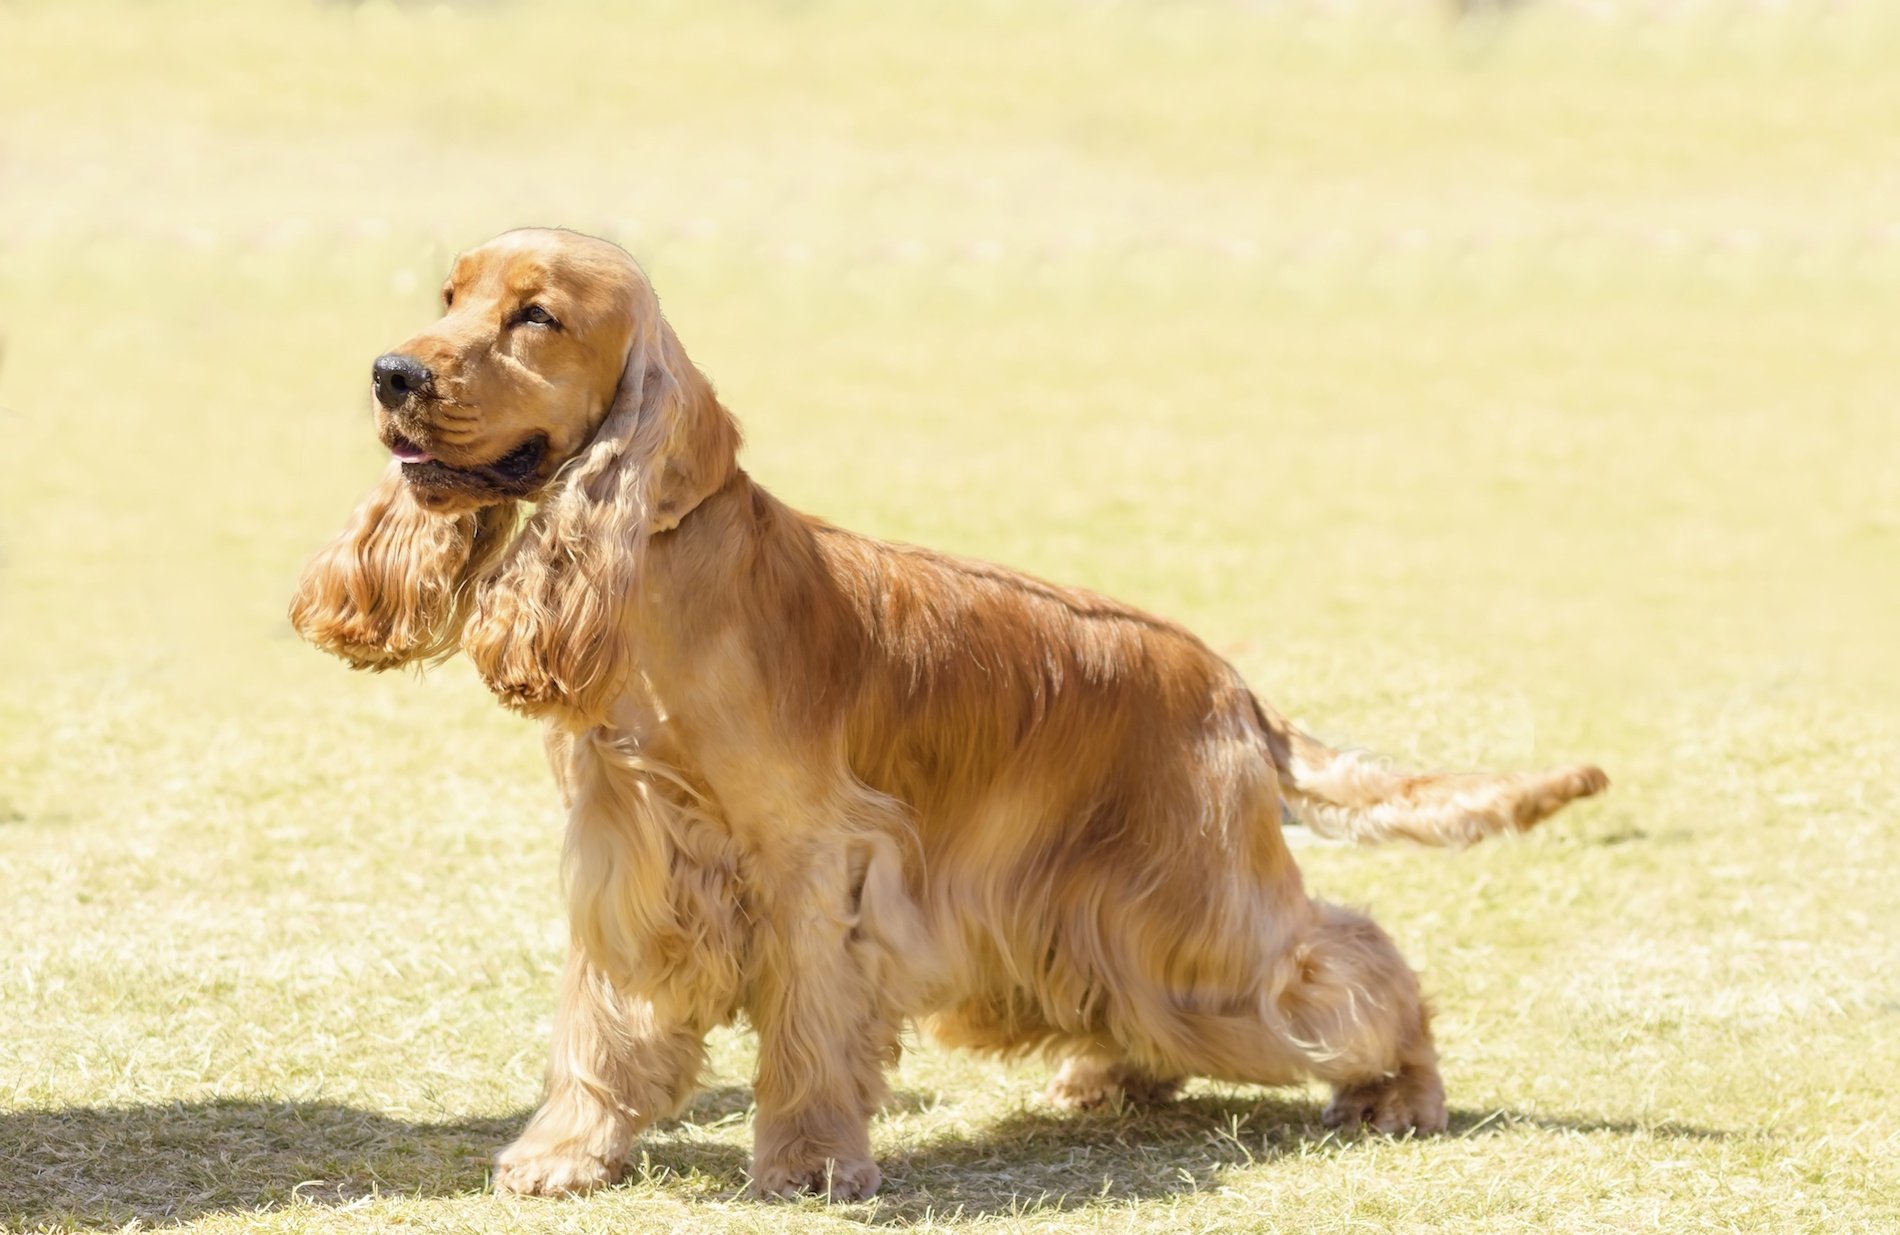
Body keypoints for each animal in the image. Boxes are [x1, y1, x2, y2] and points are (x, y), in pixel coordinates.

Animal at [292, 226, 1603, 1200]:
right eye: (449, 295)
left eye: (535, 316)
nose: (393, 374)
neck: (663, 571)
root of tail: (1233, 688)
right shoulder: (627, 856)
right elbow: (603, 1026)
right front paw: (565, 1153)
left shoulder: (812, 858)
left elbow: (808, 1028)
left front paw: (809, 1161)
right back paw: (1112, 1075)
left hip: (1201, 909)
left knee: (1353, 959)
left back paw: (1400, 1088)